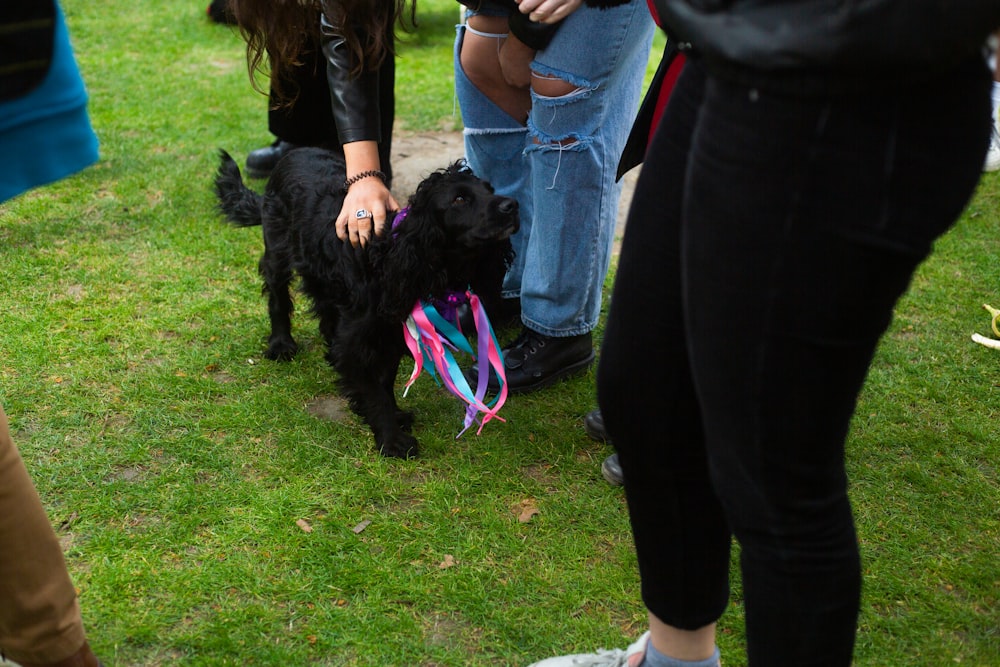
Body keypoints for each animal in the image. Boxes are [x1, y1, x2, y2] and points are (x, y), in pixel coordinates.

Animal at [214, 146, 520, 460]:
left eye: (489, 189)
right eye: (459, 199)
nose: (512, 205)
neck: (389, 258)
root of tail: (295, 151)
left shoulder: (392, 330)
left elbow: (384, 380)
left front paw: (395, 416)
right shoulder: (362, 338)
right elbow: (373, 390)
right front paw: (392, 439)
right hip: (277, 248)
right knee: (278, 296)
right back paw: (281, 344)